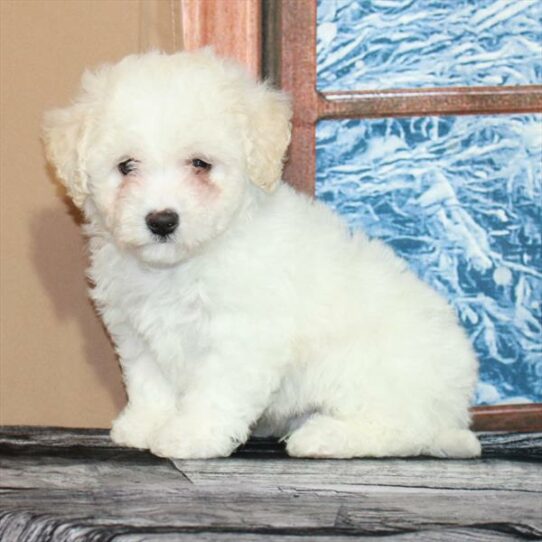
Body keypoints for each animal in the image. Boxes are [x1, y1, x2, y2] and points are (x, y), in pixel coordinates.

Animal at [44, 50, 482, 460]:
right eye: (126, 166)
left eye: (200, 164)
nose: (162, 220)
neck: (185, 263)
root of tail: (455, 407)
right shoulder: (135, 330)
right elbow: (150, 382)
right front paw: (145, 425)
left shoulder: (240, 336)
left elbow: (215, 390)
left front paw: (191, 435)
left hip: (373, 372)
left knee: (401, 429)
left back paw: (324, 436)